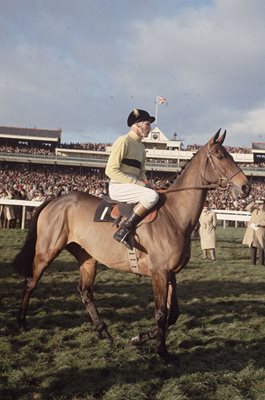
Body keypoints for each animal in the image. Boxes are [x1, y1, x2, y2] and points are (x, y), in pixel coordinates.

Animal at [13, 130, 250, 366]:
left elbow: (173, 314)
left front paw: (140, 337)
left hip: (87, 257)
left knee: (85, 292)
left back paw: (104, 332)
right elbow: (161, 313)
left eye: (231, 155)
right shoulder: (159, 273)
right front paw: (162, 351)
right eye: (220, 156)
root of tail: (55, 200)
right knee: (31, 282)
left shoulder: (170, 273)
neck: (173, 216)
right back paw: (21, 322)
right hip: (46, 251)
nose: (246, 187)